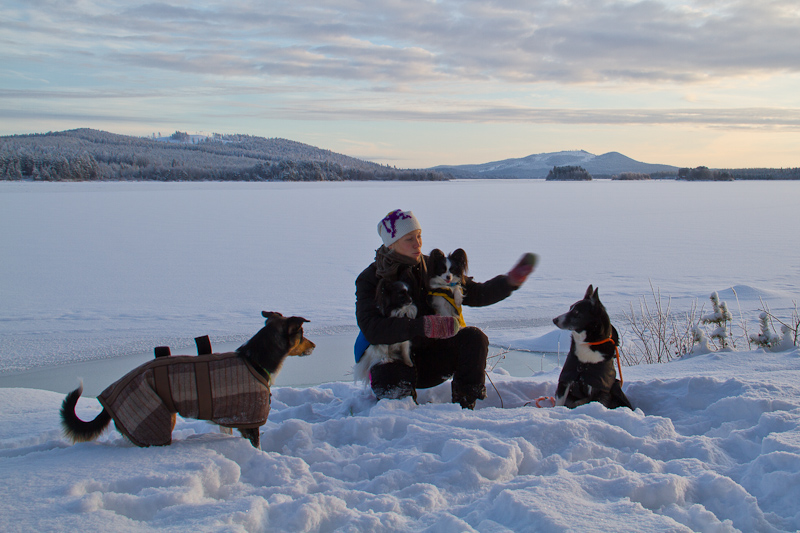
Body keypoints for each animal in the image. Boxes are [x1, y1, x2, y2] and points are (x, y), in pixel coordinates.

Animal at [60, 311, 315, 448]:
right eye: (302, 334)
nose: (314, 345)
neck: (253, 360)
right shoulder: (250, 422)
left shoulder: (229, 419)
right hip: (157, 419)